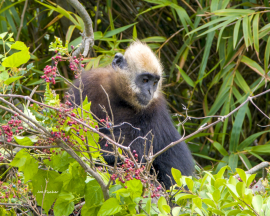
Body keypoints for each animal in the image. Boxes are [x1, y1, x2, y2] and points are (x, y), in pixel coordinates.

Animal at [69, 41, 194, 189]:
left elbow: (138, 148)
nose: (150, 91)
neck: (119, 96)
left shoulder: (155, 108)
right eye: (145, 80)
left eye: (154, 83)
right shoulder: (87, 84)